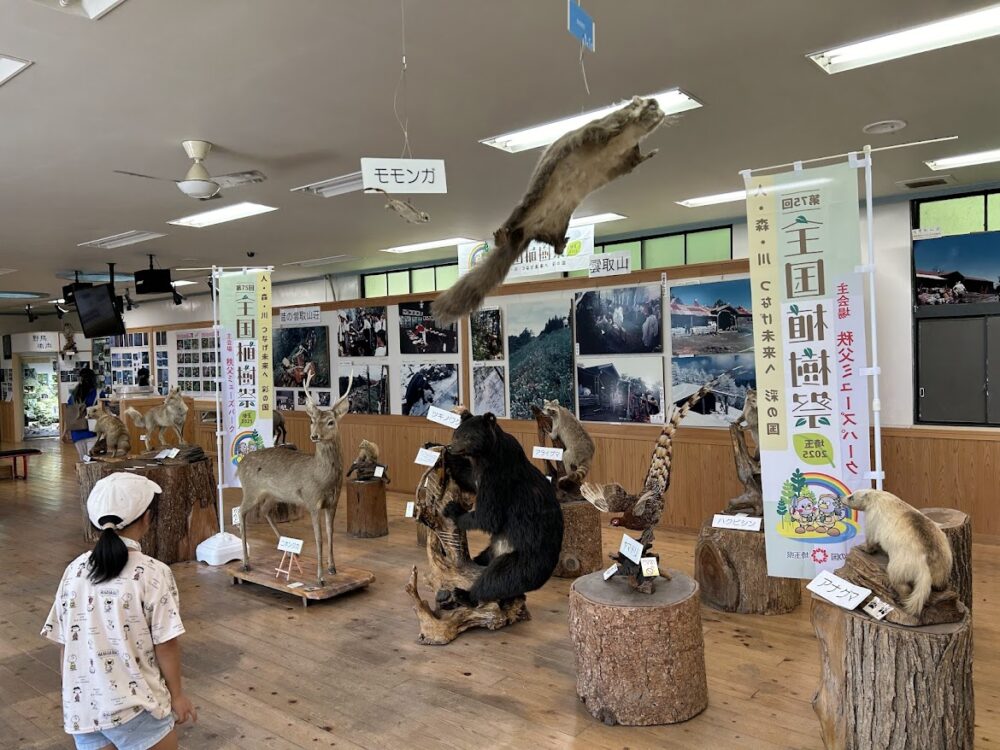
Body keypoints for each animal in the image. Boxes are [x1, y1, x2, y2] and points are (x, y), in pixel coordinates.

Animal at [434, 97, 668, 324]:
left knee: (553, 243)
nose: (662, 111)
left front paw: (653, 152)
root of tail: (526, 232)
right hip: (526, 207)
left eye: (657, 105)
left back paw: (560, 244)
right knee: (511, 223)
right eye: (650, 104)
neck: (625, 139)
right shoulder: (597, 129)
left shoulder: (628, 157)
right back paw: (502, 235)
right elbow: (597, 132)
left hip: (561, 222)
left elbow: (636, 160)